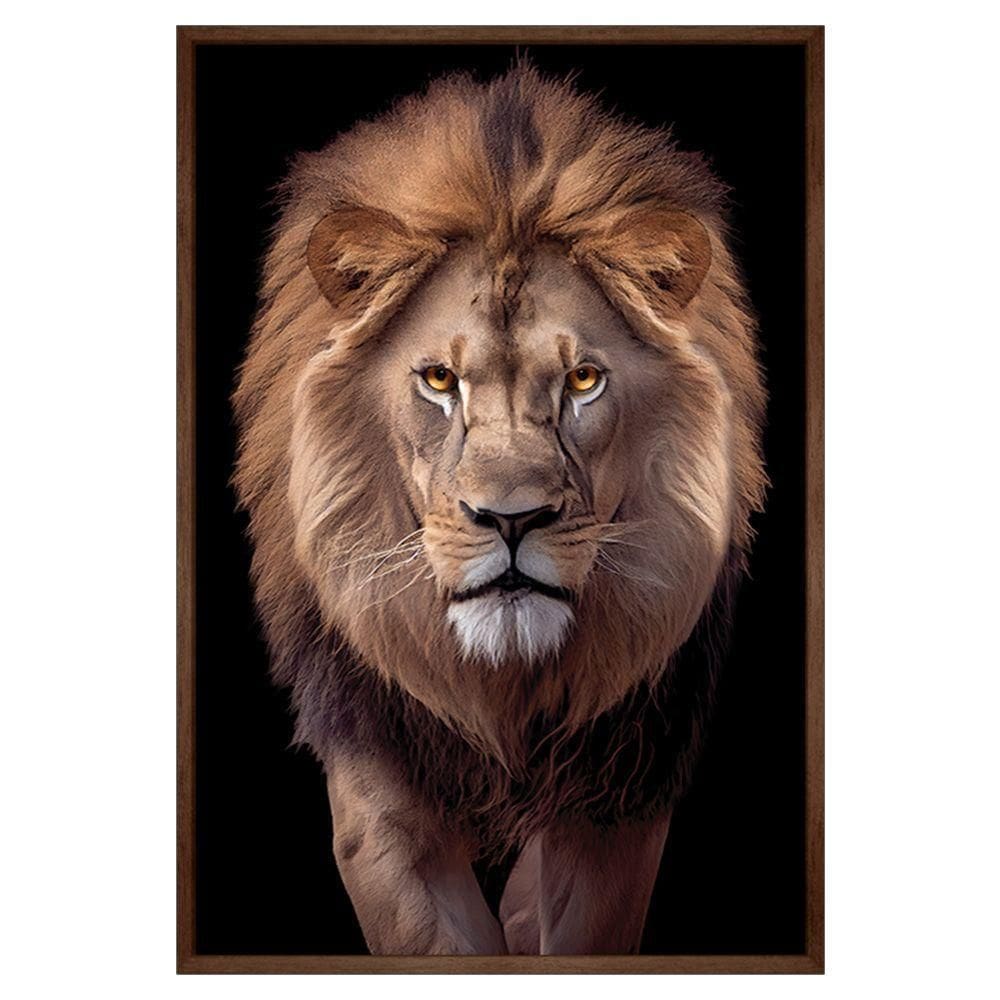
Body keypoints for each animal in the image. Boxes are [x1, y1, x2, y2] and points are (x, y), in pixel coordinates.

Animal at [233, 64, 766, 956]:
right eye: (439, 381)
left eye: (583, 379)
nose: (511, 521)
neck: (503, 691)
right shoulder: (381, 797)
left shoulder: (618, 800)